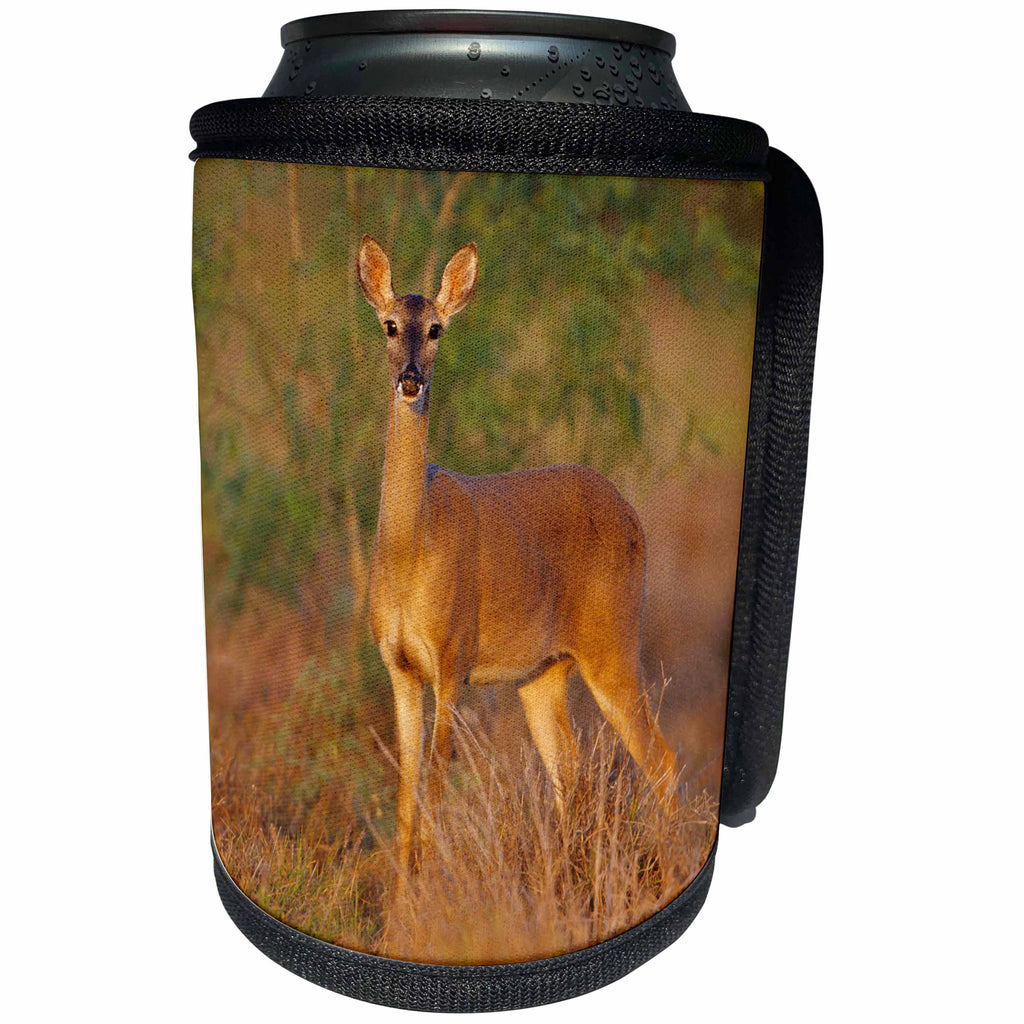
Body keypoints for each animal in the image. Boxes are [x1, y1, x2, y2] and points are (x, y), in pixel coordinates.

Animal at [357, 235, 679, 877]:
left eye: (436, 329)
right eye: (388, 325)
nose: (410, 380)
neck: (410, 548)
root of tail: (632, 511)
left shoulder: (452, 656)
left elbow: (434, 791)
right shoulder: (399, 668)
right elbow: (405, 801)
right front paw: (400, 899)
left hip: (613, 639)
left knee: (662, 763)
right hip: (543, 671)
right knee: (570, 775)